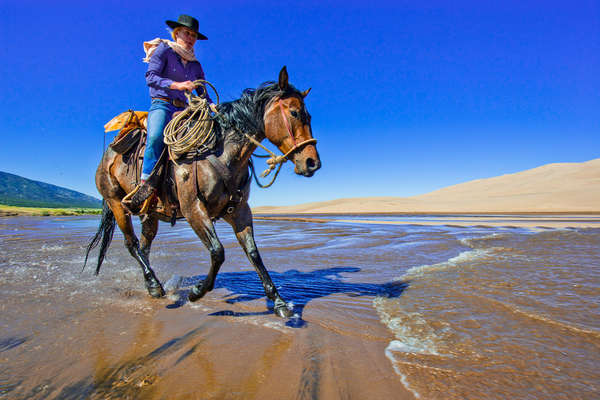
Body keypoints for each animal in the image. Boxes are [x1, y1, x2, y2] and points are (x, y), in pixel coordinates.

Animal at [83, 67, 324, 318]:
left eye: (309, 117)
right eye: (294, 113)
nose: (312, 163)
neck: (220, 153)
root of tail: (109, 153)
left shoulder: (239, 210)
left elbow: (253, 253)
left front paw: (279, 302)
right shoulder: (193, 209)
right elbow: (218, 251)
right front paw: (197, 292)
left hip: (150, 214)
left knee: (144, 246)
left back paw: (150, 284)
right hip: (116, 203)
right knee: (131, 244)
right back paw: (155, 285)